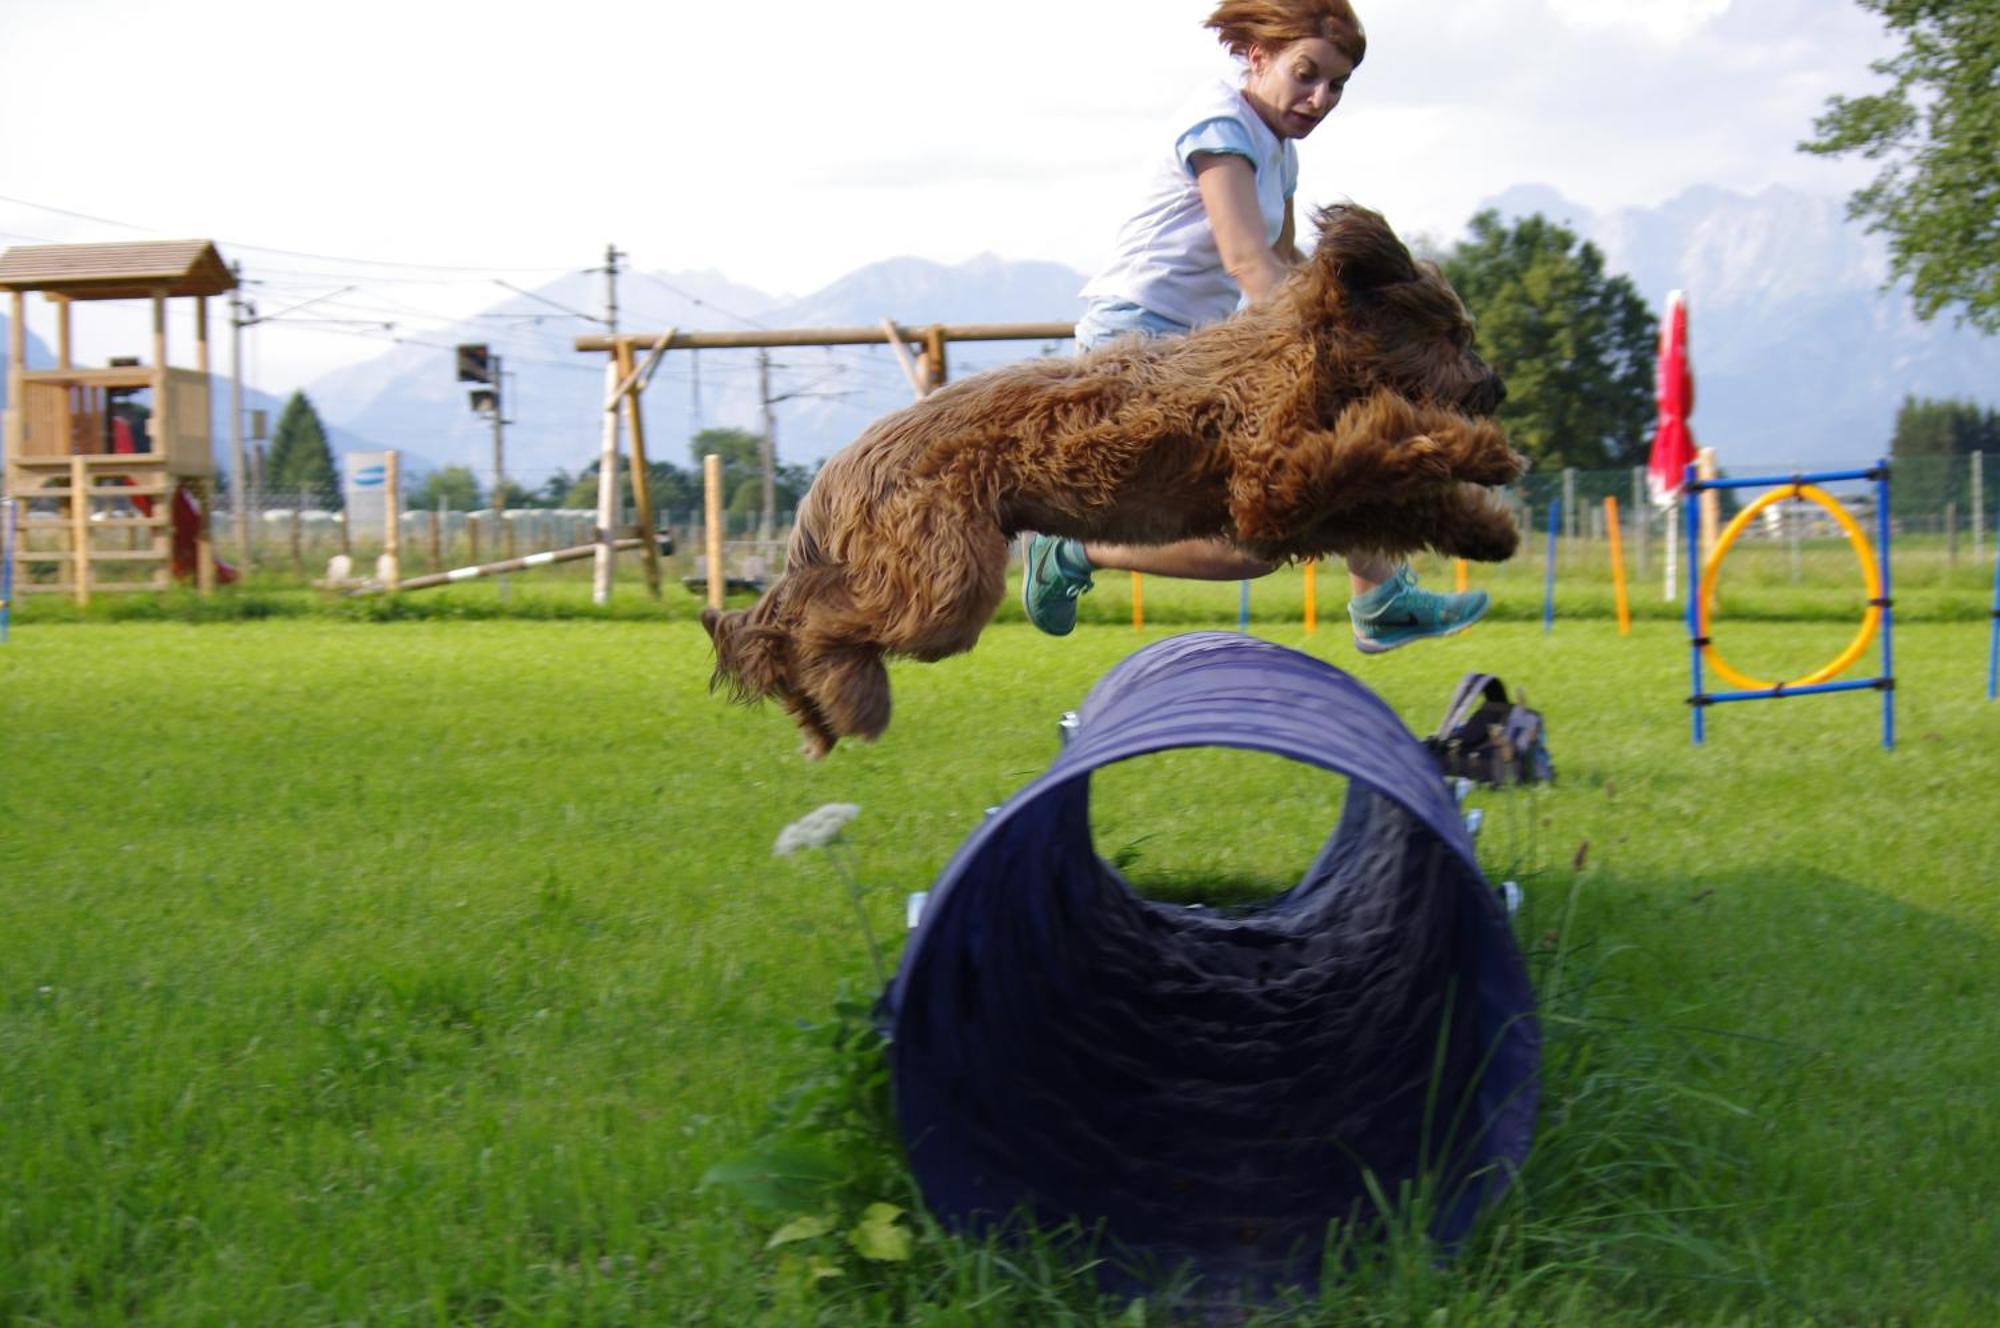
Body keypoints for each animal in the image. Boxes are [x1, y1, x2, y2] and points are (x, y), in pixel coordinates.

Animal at [712, 213, 1520, 764]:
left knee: (798, 617)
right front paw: (1473, 448)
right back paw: (842, 701)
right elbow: (1377, 438)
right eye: (1452, 333)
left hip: (926, 572)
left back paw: (815, 711)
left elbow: (1401, 495)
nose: (1497, 388)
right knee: (809, 621)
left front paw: (1489, 526)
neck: (1299, 354)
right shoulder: (1269, 481)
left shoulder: (1290, 517)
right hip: (944, 581)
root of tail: (844, 462)